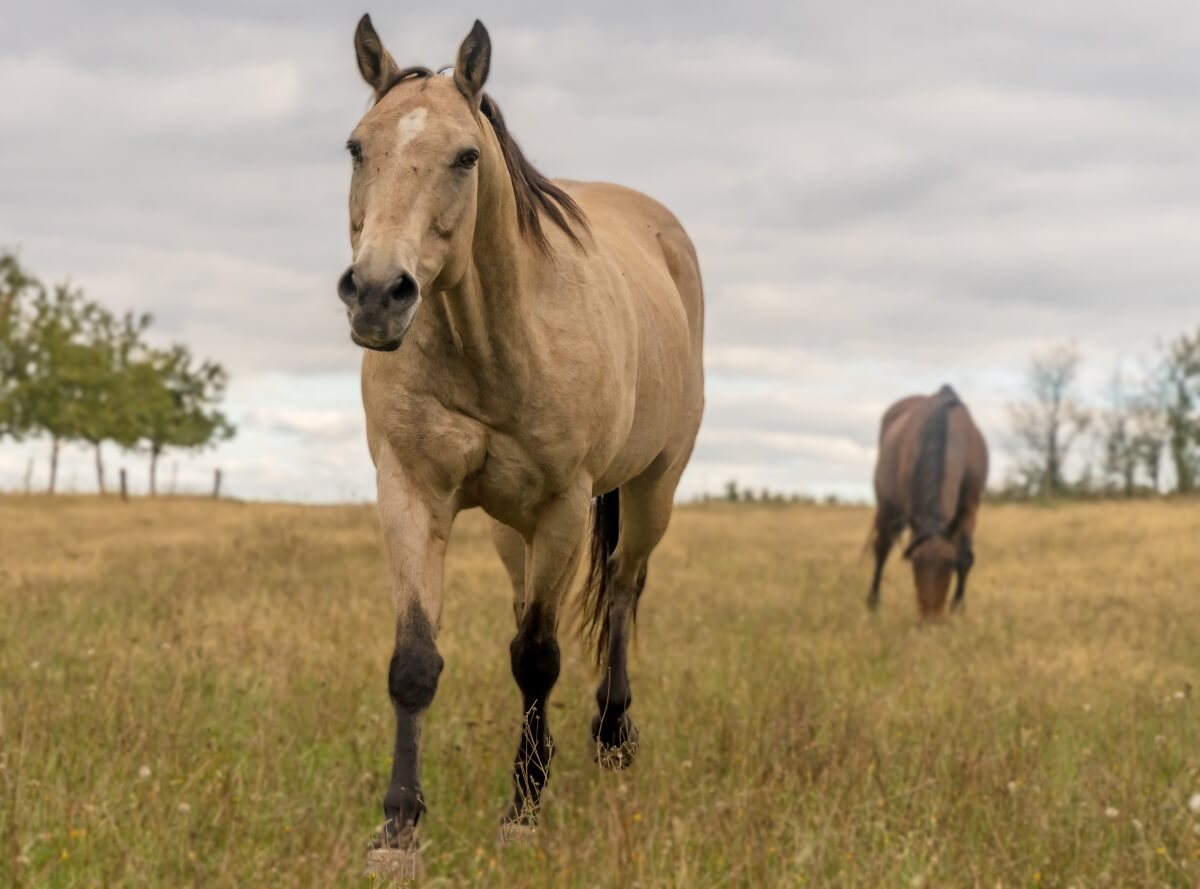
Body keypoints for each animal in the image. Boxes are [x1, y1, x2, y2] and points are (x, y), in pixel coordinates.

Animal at [337, 16, 705, 867]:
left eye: (466, 156)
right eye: (356, 147)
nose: (376, 294)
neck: (493, 342)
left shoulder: (565, 504)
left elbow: (538, 656)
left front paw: (523, 811)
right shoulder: (409, 491)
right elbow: (416, 661)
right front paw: (397, 829)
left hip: (650, 491)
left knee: (623, 592)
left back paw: (612, 737)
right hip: (514, 528)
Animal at [867, 385, 988, 617]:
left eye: (950, 564)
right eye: (916, 562)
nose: (931, 620)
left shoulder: (970, 507)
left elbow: (966, 556)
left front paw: (957, 609)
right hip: (887, 507)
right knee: (881, 548)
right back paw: (873, 603)